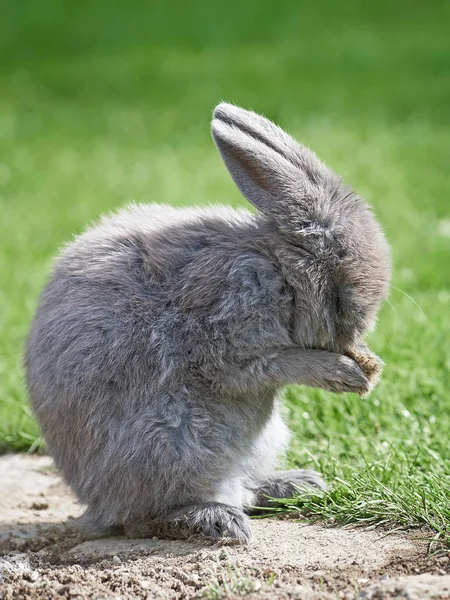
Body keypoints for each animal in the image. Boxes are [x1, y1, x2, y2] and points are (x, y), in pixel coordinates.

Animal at [24, 103, 390, 544]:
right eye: (341, 288)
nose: (358, 333)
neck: (279, 268)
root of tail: (96, 504)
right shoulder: (227, 335)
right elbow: (270, 364)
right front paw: (344, 373)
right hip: (177, 441)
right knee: (141, 519)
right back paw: (216, 519)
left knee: (244, 489)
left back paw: (297, 485)